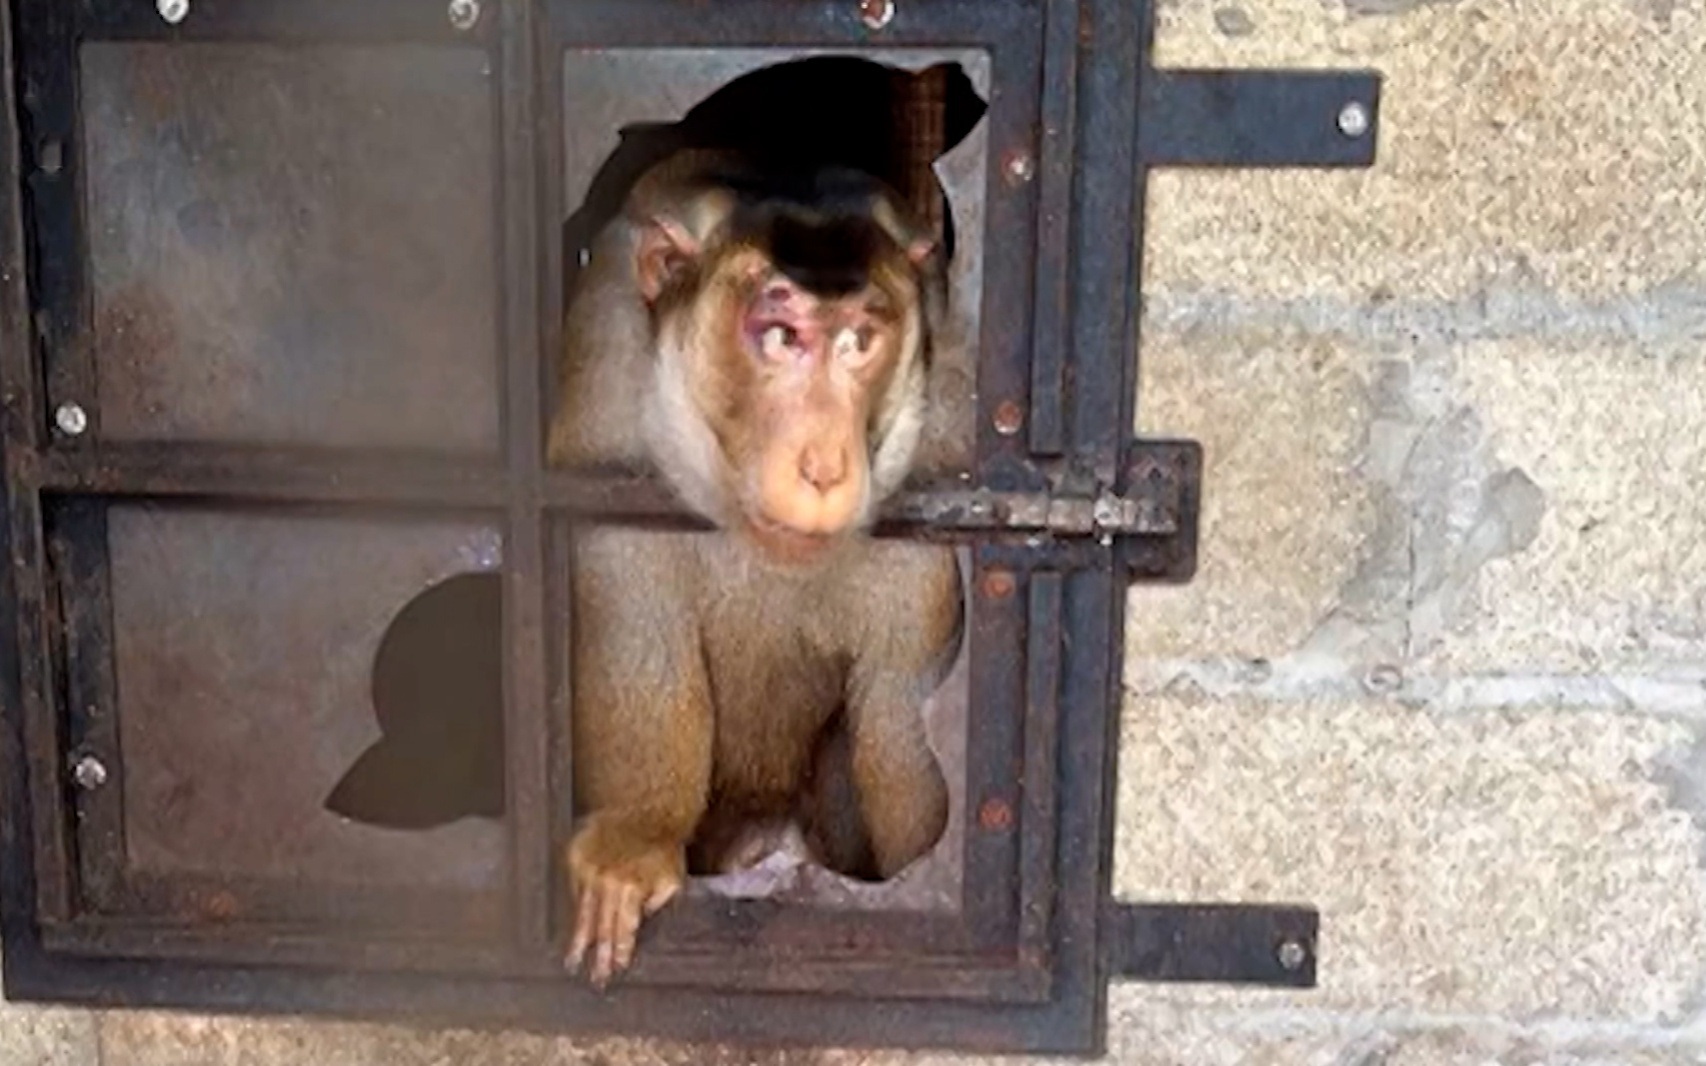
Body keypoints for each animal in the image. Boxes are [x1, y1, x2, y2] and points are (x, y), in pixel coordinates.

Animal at [546, 149, 965, 988]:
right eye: (778, 335)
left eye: (859, 342)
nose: (825, 466)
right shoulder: (604, 386)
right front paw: (638, 838)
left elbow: (903, 733)